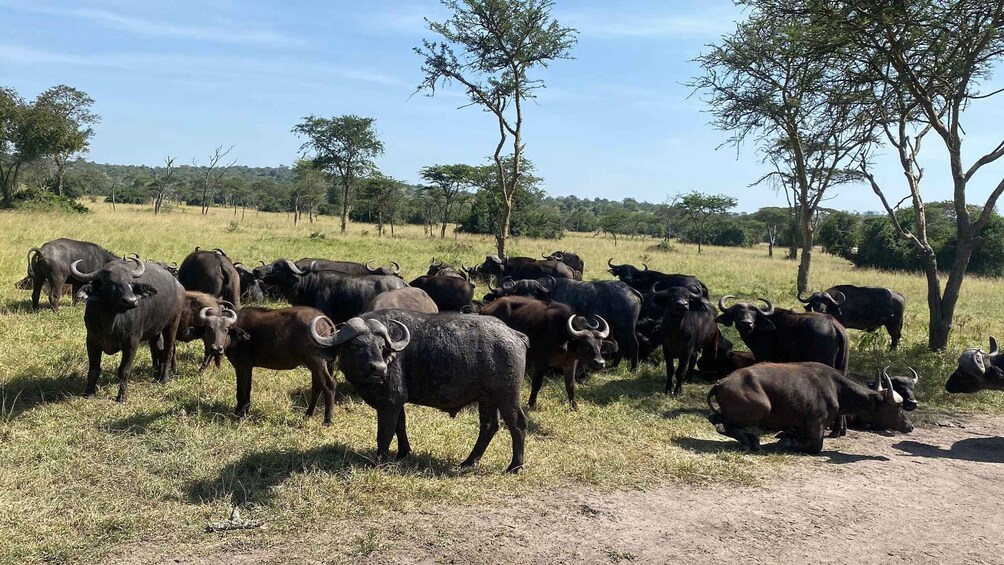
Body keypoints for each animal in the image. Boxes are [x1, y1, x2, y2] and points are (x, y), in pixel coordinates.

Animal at [72, 256, 184, 401]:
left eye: (130, 282)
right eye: (110, 283)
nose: (131, 301)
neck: (110, 323)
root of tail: (178, 285)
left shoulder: (132, 343)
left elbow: (123, 370)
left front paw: (121, 397)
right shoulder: (91, 341)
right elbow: (94, 369)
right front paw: (89, 392)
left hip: (172, 324)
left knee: (168, 350)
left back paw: (163, 378)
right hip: (155, 331)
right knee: (157, 349)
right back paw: (156, 374)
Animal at [309, 309, 530, 473]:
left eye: (381, 346)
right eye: (355, 345)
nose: (379, 369)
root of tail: (514, 334)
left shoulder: (390, 400)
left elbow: (385, 431)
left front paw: (380, 460)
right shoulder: (396, 403)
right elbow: (400, 425)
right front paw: (403, 453)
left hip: (507, 395)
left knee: (517, 423)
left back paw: (515, 466)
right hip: (486, 398)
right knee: (489, 426)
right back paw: (469, 461)